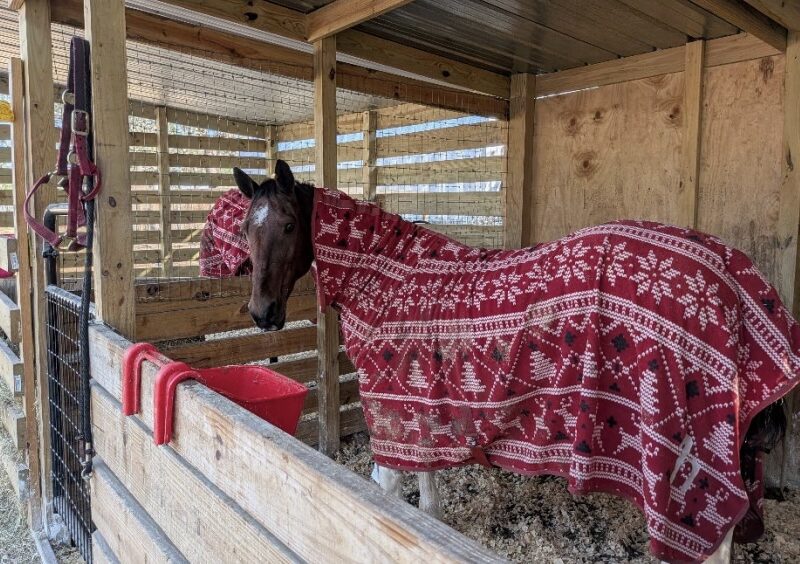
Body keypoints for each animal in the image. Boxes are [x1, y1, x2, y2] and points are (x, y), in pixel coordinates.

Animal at [233, 160, 793, 563]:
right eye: (244, 229)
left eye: (289, 223)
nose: (263, 313)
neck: (388, 275)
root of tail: (730, 276)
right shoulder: (420, 411)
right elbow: (425, 491)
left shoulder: (390, 408)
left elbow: (384, 490)